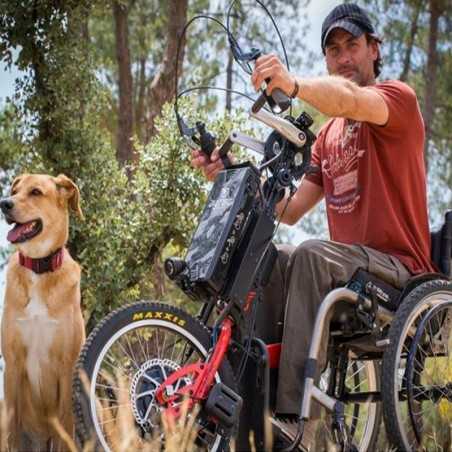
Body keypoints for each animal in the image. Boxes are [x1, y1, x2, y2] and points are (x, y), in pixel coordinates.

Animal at [0, 174, 85, 452]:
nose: (4, 203)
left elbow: (65, 428)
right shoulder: (12, 364)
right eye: (15, 190)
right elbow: (11, 432)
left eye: (36, 192)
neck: (39, 268)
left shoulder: (67, 367)